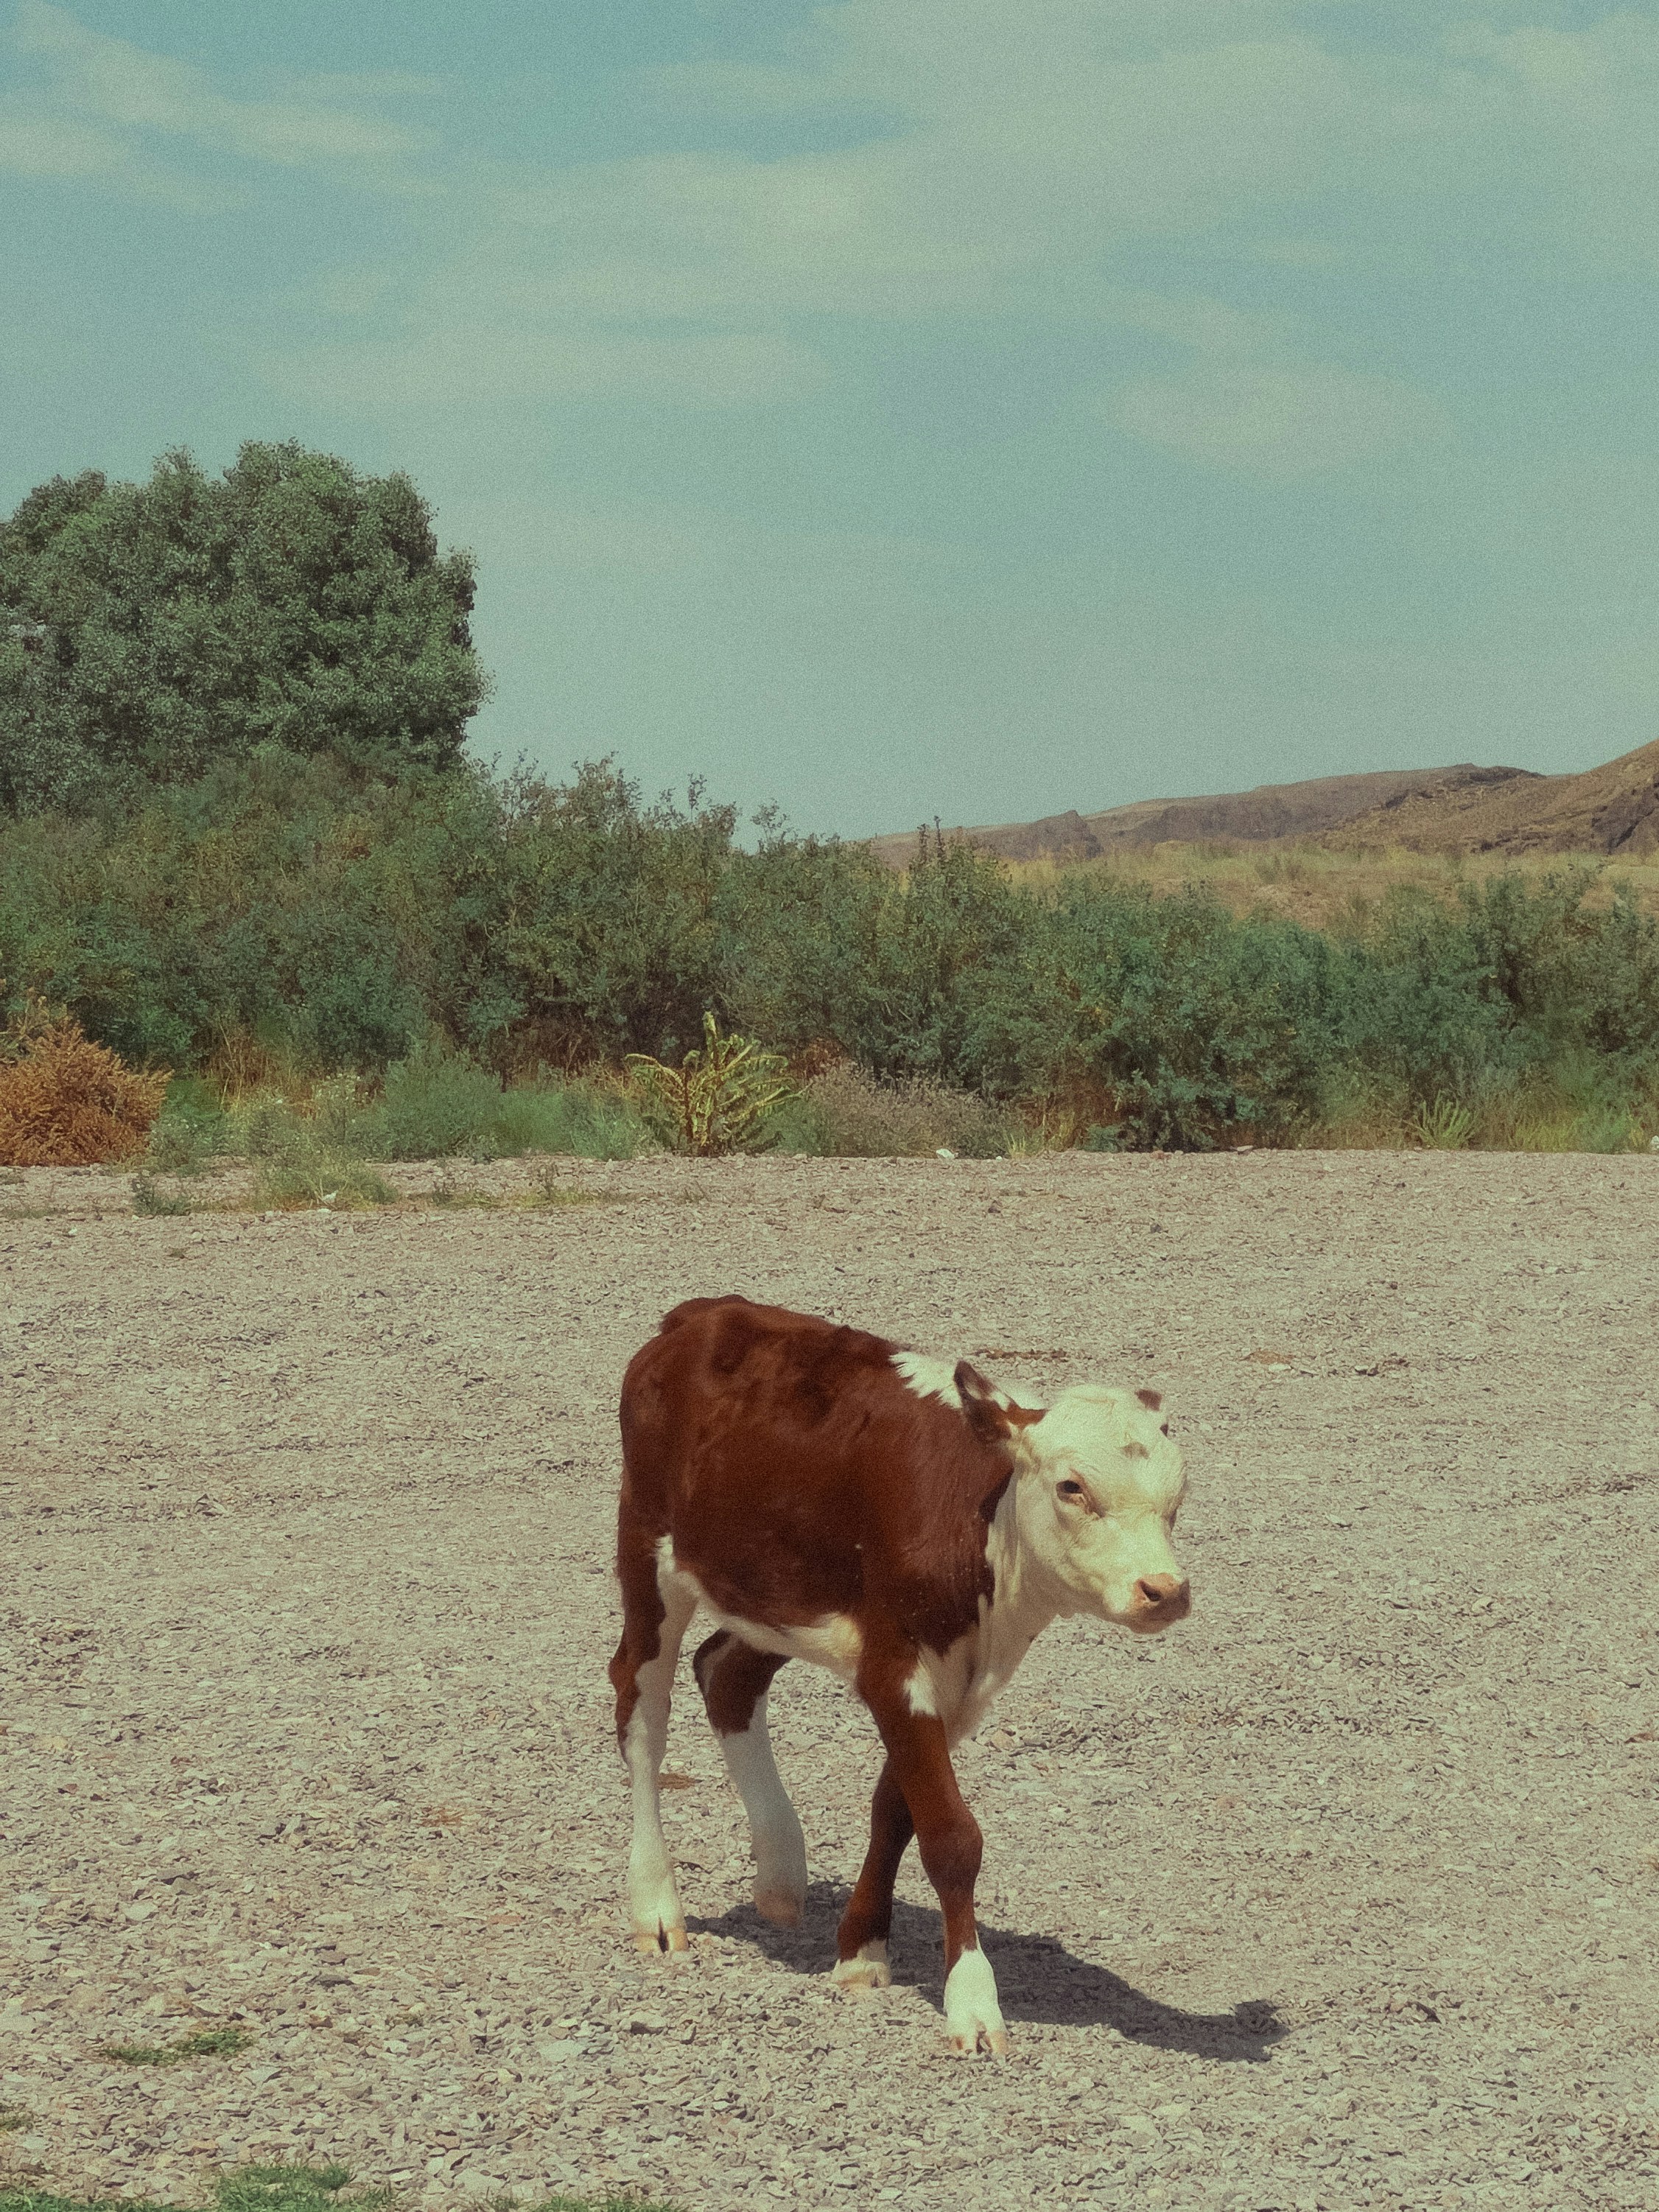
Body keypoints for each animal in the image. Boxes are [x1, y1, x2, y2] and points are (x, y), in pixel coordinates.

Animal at [608, 1295, 1190, 2057]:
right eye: (1073, 1487)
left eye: (1178, 1495)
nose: (1166, 1590)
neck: (978, 1525)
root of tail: (701, 1314)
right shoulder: (896, 1666)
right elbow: (950, 1836)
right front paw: (972, 1999)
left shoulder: (954, 1683)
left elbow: (896, 1811)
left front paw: (861, 1950)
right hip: (649, 1547)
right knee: (641, 1709)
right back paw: (656, 1905)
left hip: (774, 1588)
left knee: (725, 1672)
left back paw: (780, 1874)